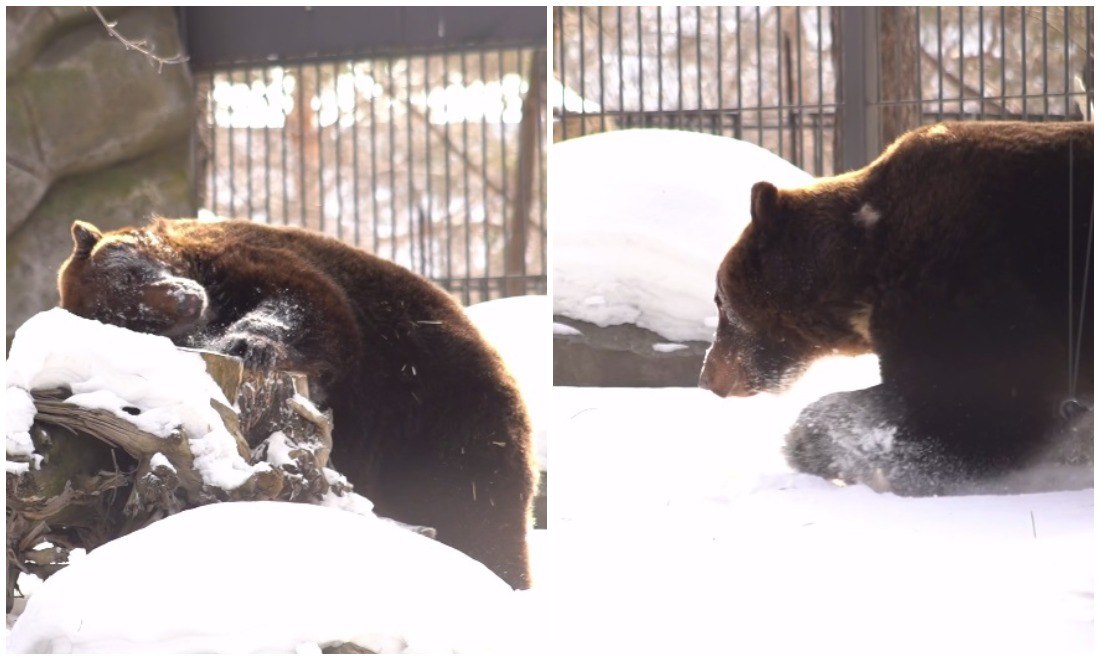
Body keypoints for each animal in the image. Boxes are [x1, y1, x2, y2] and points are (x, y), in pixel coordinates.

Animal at [58, 218, 539, 589]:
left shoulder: (261, 262)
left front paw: (248, 341)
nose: (185, 299)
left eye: (131, 274)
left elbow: (304, 306)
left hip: (444, 407)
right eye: (132, 318)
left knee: (478, 506)